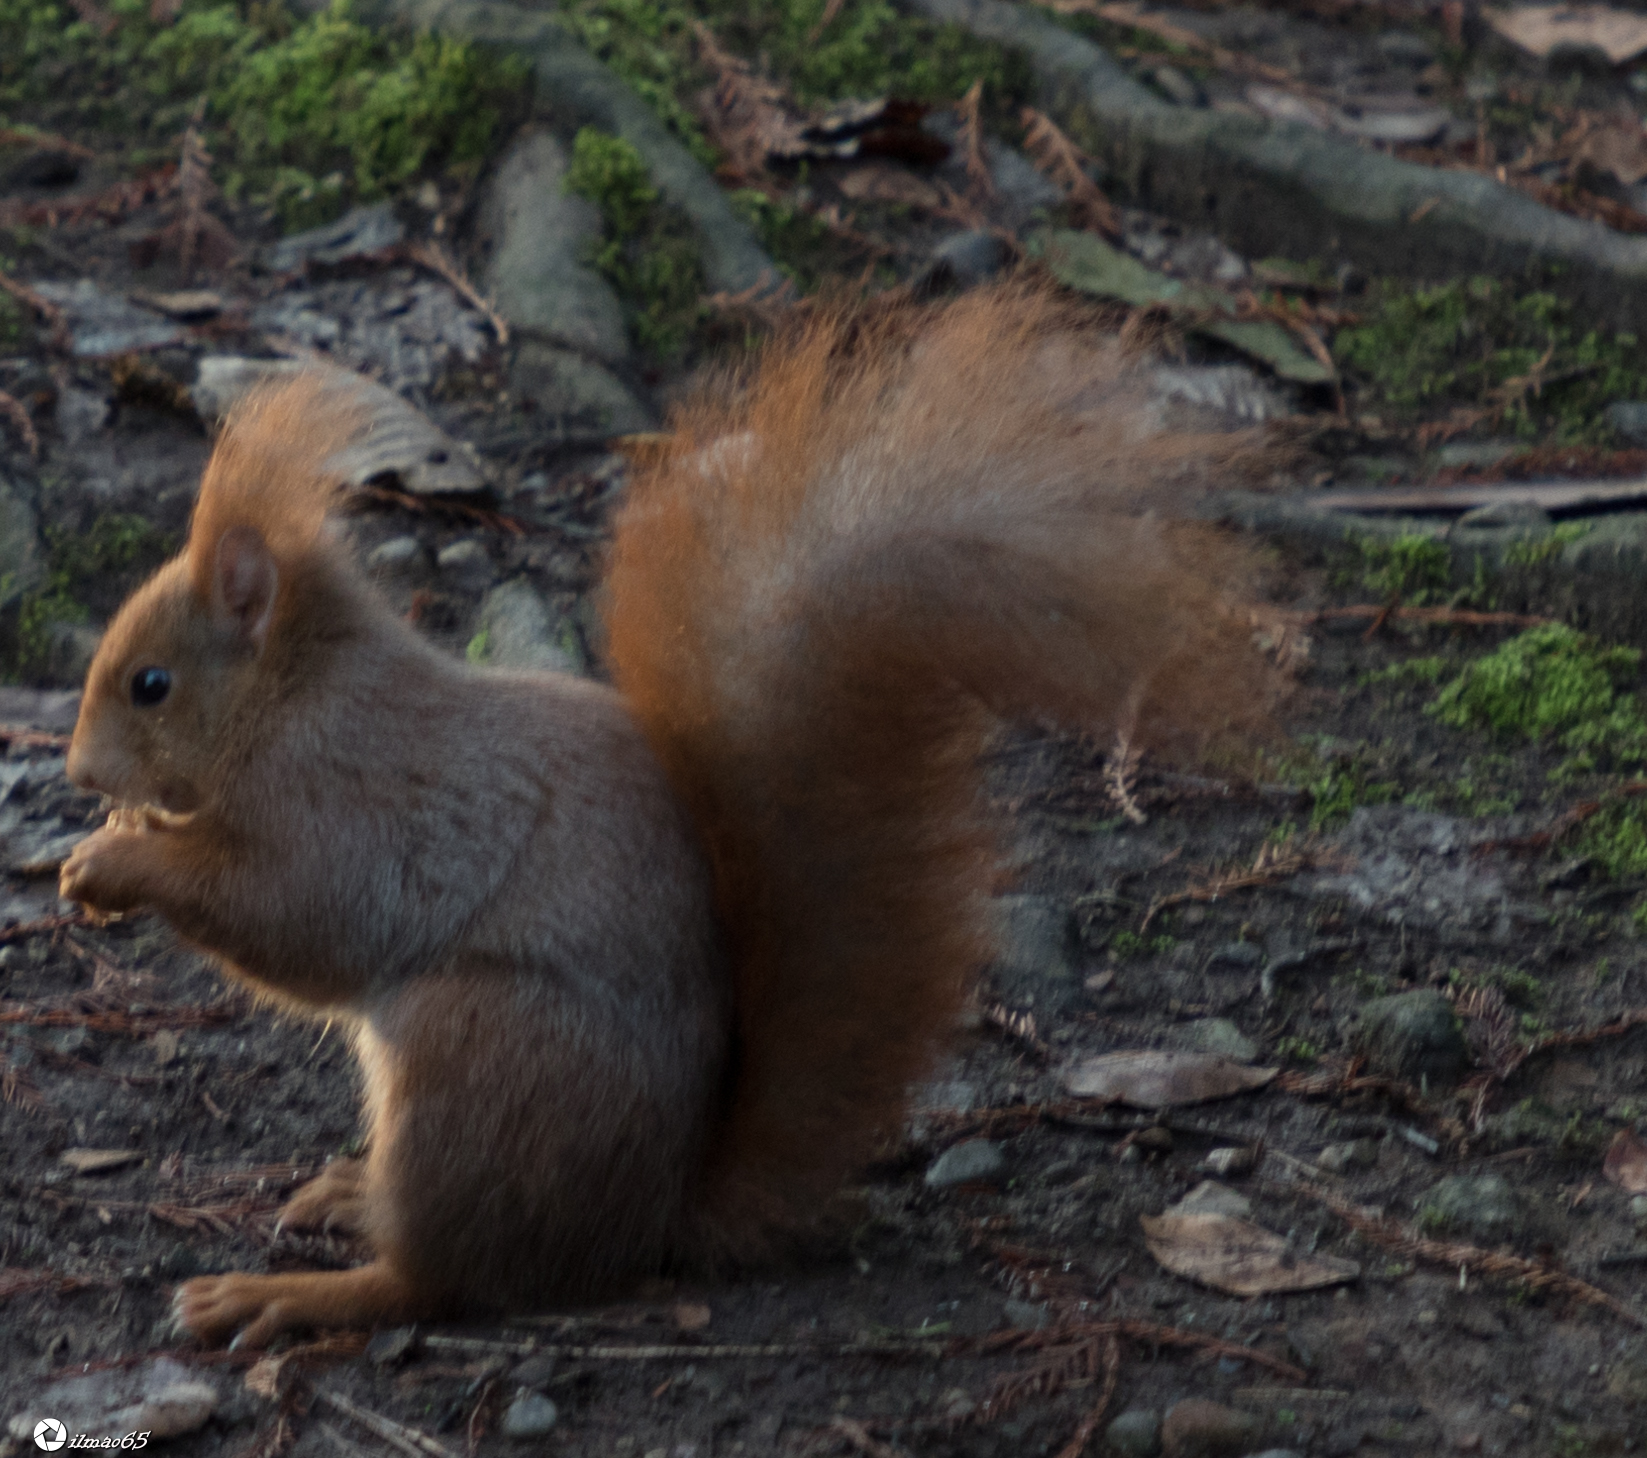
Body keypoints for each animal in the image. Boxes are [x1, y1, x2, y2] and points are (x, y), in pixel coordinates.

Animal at [57, 285, 1273, 1348]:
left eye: (150, 685)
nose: (74, 772)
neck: (292, 697)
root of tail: (652, 1219)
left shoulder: (352, 803)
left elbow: (299, 917)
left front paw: (120, 863)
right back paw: (349, 1194)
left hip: (480, 1056)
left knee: (441, 1281)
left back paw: (294, 1295)